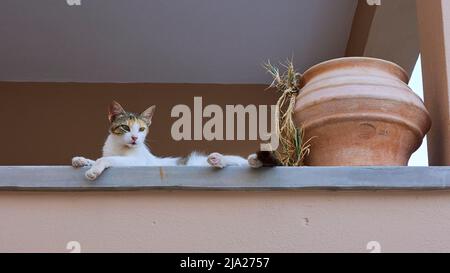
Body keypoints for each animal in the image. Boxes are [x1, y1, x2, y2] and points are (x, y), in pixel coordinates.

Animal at [71, 101, 264, 180]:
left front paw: (93, 171)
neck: (120, 146)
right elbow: (99, 157)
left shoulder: (136, 162)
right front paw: (81, 160)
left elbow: (105, 159)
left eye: (141, 129)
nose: (134, 138)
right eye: (125, 127)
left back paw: (222, 159)